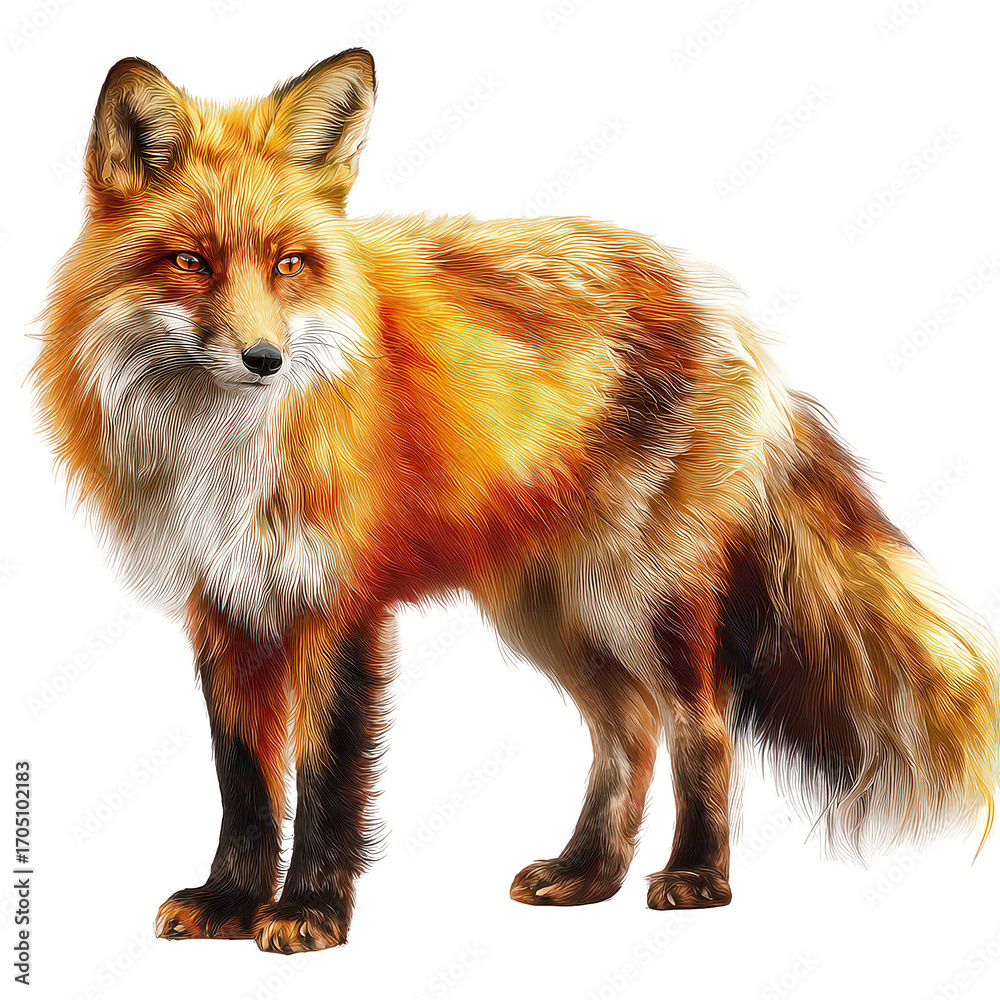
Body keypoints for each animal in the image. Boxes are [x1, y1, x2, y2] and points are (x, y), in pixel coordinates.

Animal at [33, 50, 1000, 954]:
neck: (223, 455)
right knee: (629, 736)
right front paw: (232, 901)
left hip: (645, 601)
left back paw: (697, 877)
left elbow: (327, 778)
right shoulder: (223, 605)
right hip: (558, 616)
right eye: (190, 262)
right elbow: (243, 781)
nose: (263, 359)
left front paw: (308, 910)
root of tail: (715, 300)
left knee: (704, 728)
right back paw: (587, 874)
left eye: (290, 264)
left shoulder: (338, 602)